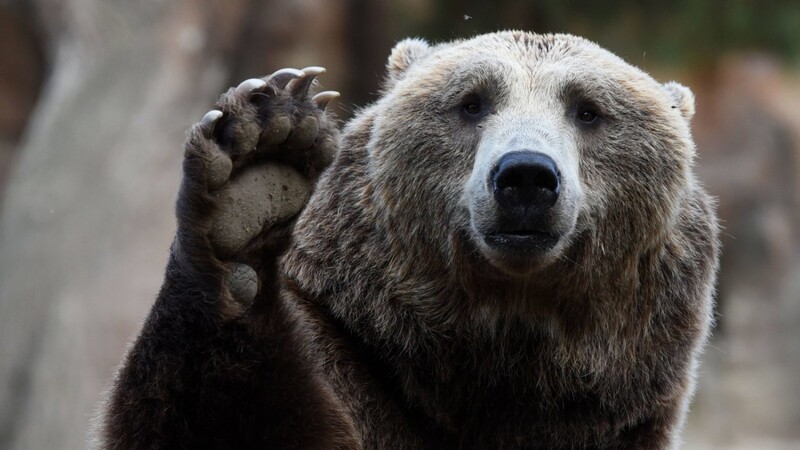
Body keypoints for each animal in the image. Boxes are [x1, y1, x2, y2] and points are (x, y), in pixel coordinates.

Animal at [95, 31, 720, 450]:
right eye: (472, 102)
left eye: (588, 111)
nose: (525, 177)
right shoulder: (353, 361)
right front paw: (256, 170)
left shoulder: (618, 420)